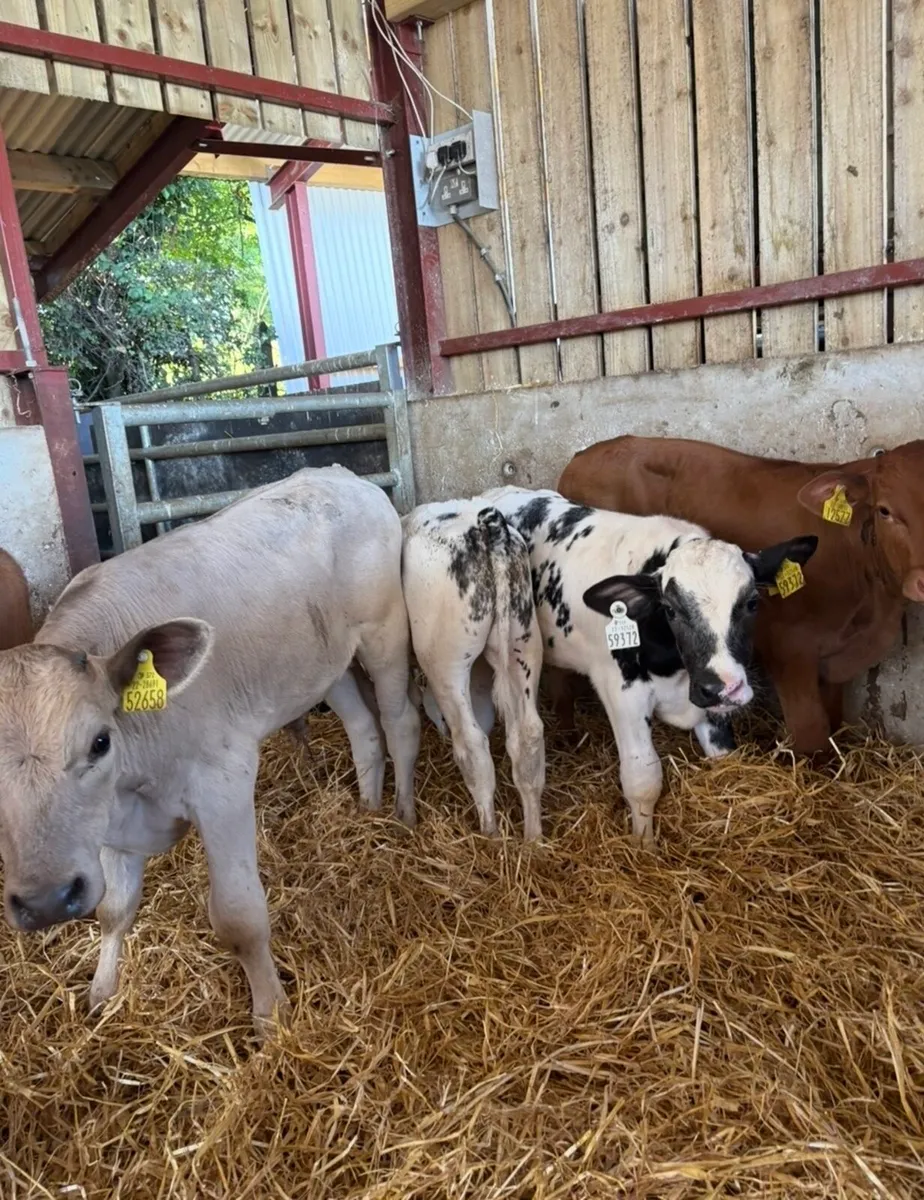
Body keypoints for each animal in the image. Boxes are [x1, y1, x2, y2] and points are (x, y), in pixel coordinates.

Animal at [0, 466, 420, 1037]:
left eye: (100, 741)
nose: (46, 902)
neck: (136, 783)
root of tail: (339, 474)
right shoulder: (104, 822)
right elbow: (113, 908)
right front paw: (102, 993)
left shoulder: (223, 784)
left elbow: (239, 918)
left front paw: (270, 1017)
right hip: (324, 667)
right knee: (364, 730)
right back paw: (367, 807)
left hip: (384, 634)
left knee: (399, 723)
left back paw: (402, 813)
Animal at [402, 502, 545, 841]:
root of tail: (488, 525)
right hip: (523, 641)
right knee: (528, 735)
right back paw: (533, 838)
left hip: (445, 661)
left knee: (472, 743)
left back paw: (489, 832)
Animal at [481, 486, 817, 844]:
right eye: (670, 609)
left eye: (752, 602)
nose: (723, 686)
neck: (677, 670)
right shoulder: (623, 693)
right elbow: (642, 779)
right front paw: (645, 846)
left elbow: (723, 755)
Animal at [558, 435, 924, 757]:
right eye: (885, 511)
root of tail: (586, 455)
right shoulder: (790, 650)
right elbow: (811, 733)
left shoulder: (834, 659)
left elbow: (832, 723)